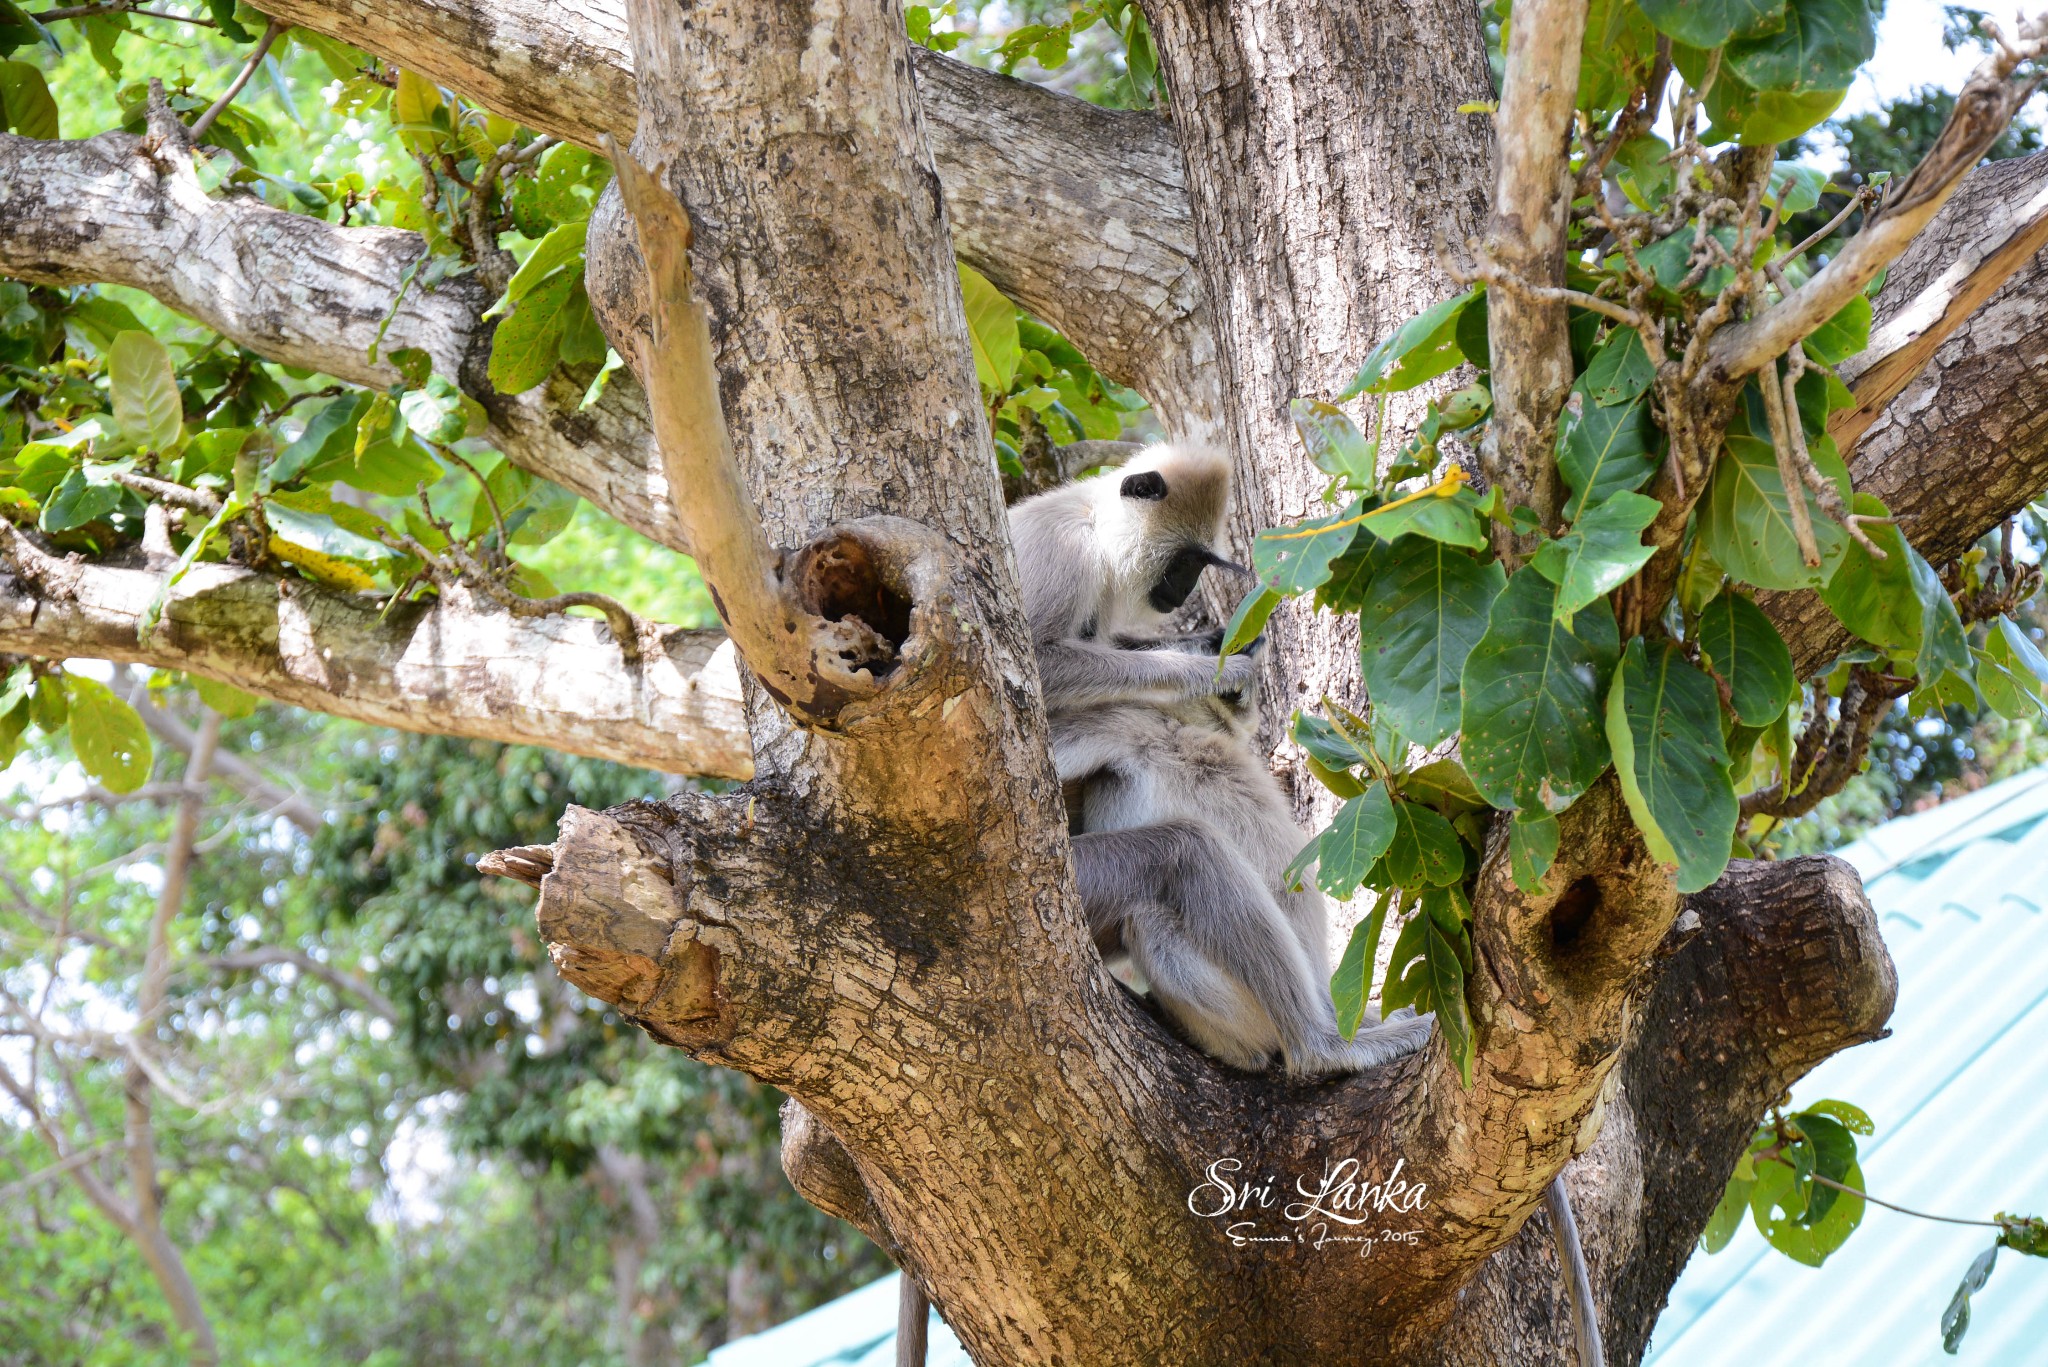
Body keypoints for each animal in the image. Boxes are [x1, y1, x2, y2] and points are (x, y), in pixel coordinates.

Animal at [1003, 448, 1425, 1082]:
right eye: (1185, 561)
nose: (1183, 593)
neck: (1091, 520)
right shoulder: (1063, 555)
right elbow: (1037, 669)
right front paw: (1210, 671)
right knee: (1186, 852)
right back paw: (1325, 1047)